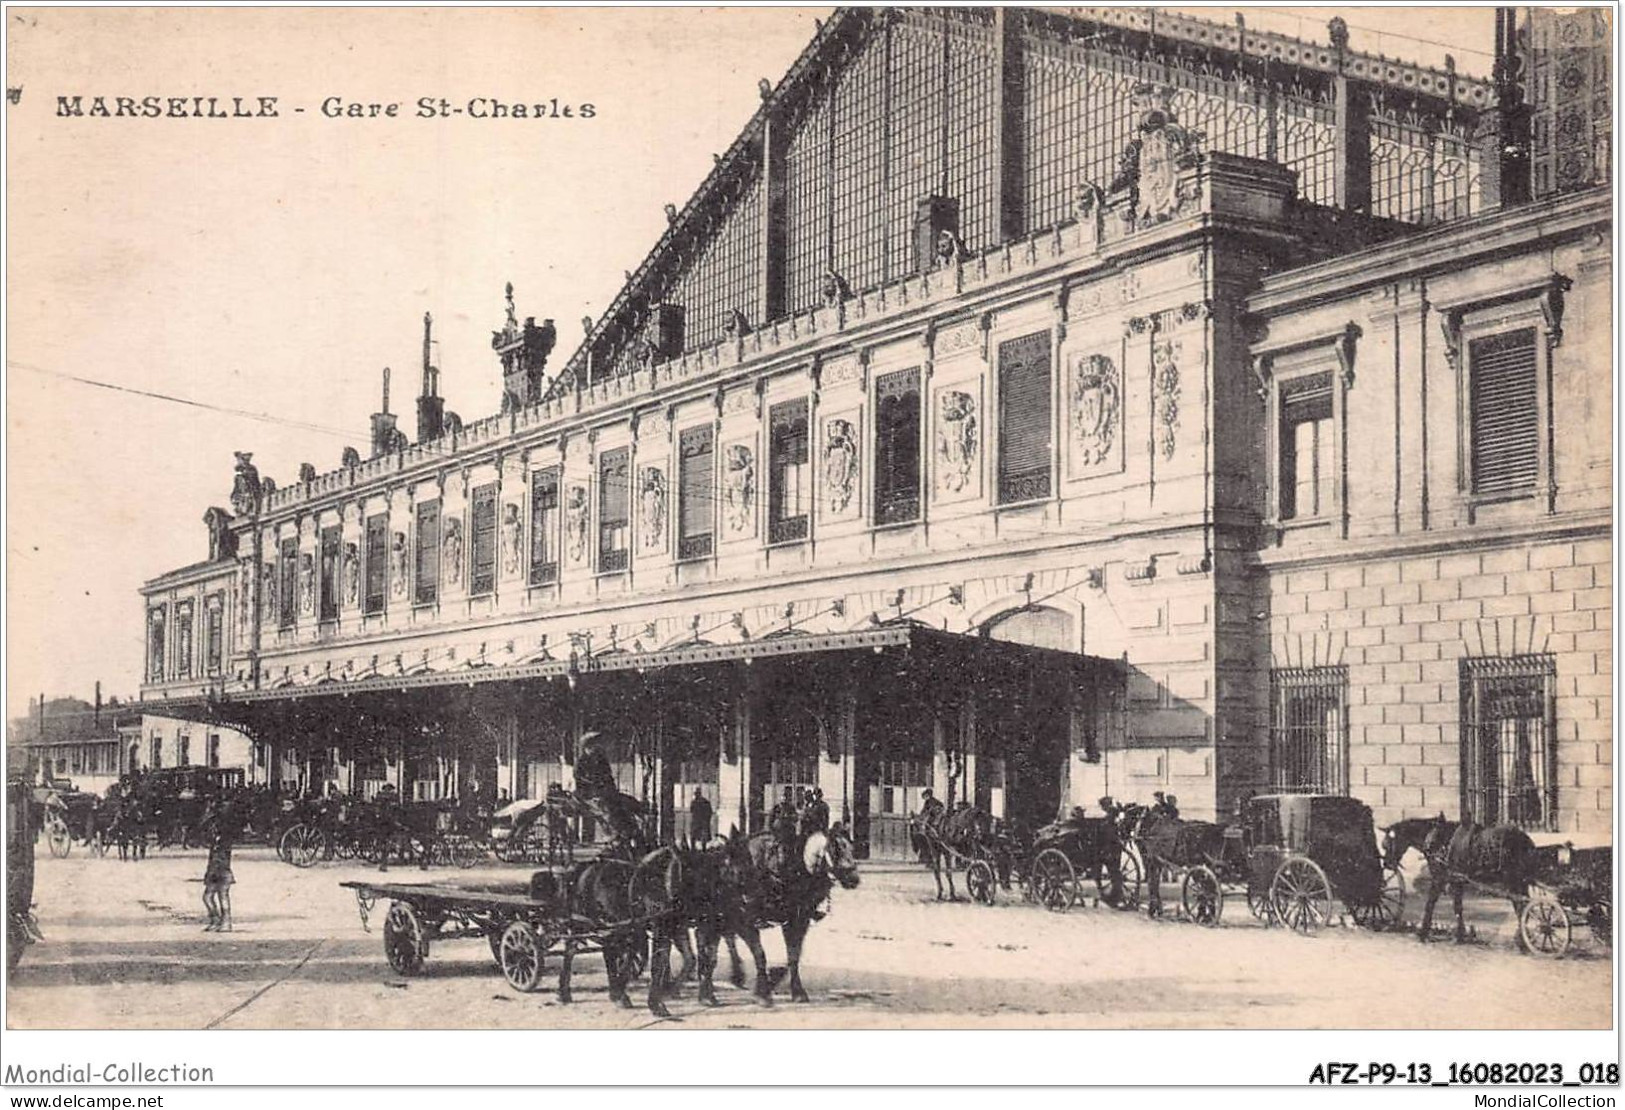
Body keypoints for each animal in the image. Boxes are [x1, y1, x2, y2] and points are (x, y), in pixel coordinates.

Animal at [1384, 812, 1534, 942]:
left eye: (1387, 844)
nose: (1387, 864)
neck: (1441, 840)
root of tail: (1524, 838)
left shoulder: (1440, 879)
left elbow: (1431, 903)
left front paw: (1423, 932)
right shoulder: (1456, 880)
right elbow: (1457, 906)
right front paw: (1460, 934)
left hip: (1513, 881)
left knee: (1520, 906)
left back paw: (1522, 940)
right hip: (1520, 882)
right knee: (1523, 905)